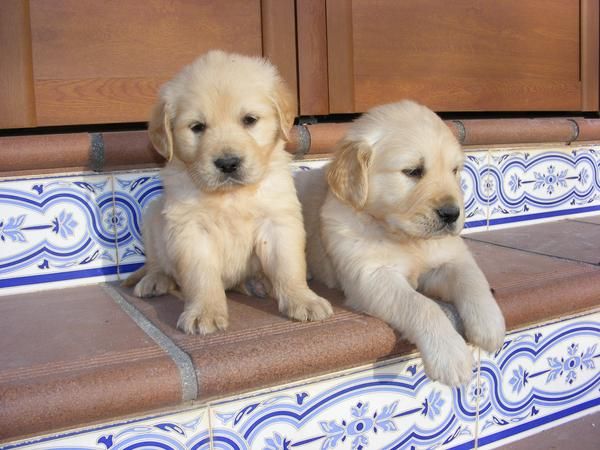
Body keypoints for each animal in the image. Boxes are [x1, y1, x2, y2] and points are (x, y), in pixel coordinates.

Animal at [125, 51, 332, 334]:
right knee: (157, 261)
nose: (228, 164)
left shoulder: (278, 221)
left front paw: (303, 299)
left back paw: (257, 282)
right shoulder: (190, 229)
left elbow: (289, 267)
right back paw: (154, 280)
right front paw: (204, 312)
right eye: (197, 127)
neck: (231, 196)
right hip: (152, 215)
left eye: (249, 120)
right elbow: (201, 277)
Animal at [298, 101, 504, 386]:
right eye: (413, 171)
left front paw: (490, 323)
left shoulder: (451, 256)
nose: (452, 214)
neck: (405, 238)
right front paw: (449, 354)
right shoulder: (372, 277)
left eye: (454, 171)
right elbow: (422, 305)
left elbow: (473, 280)